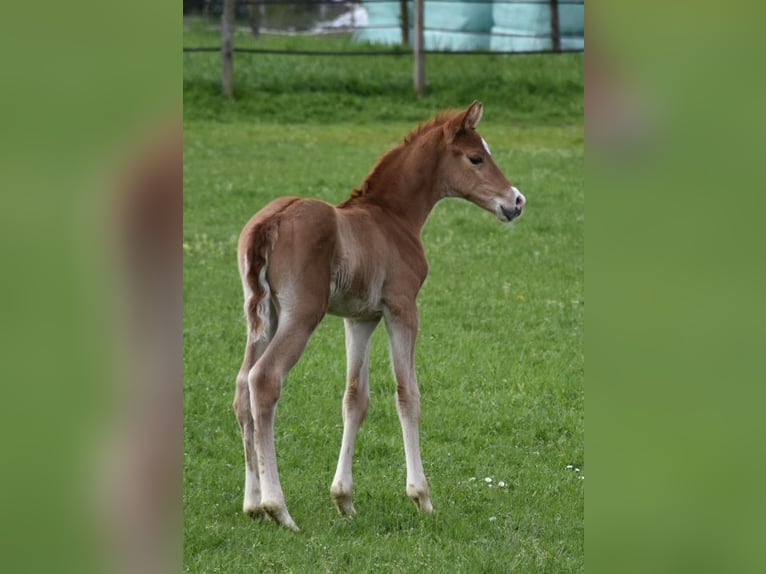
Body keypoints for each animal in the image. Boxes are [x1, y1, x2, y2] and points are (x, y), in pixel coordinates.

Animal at [231, 101, 524, 532]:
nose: (517, 201)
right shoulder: (402, 308)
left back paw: (252, 504)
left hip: (262, 314)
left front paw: (344, 499)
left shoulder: (360, 319)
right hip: (300, 316)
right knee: (264, 380)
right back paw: (278, 508)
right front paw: (421, 497)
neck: (392, 218)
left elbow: (356, 398)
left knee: (241, 386)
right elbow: (408, 394)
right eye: (476, 157)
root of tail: (270, 221)